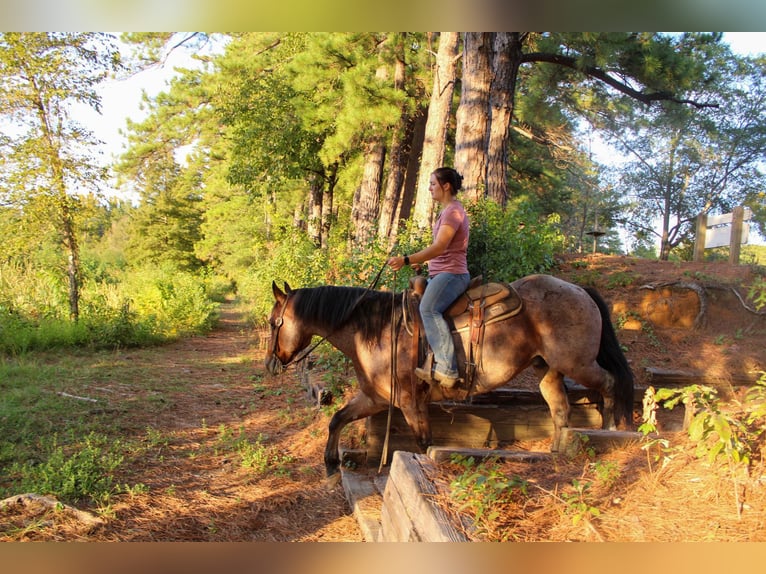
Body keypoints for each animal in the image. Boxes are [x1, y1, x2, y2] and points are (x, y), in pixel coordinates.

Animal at [266, 274, 636, 482]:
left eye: (273, 322)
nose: (271, 363)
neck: (378, 331)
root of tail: (580, 290)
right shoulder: (375, 398)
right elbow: (337, 420)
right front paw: (330, 468)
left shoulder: (409, 403)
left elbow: (424, 443)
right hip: (548, 370)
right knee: (561, 409)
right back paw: (557, 449)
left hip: (578, 363)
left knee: (610, 385)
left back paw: (609, 431)